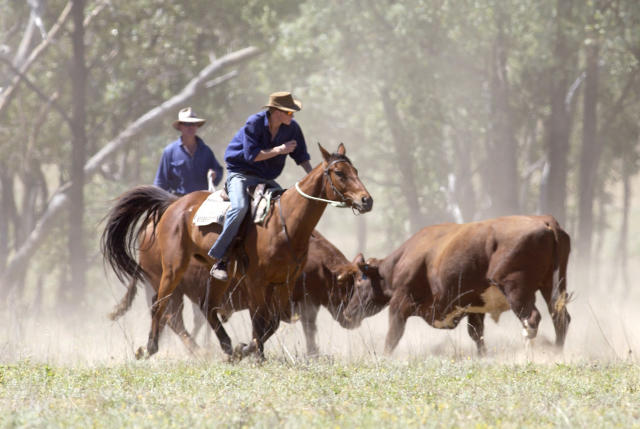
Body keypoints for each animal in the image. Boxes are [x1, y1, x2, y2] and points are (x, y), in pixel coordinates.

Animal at [102, 143, 372, 358]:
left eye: (356, 171)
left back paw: (227, 347)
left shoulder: (284, 283)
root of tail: (172, 204)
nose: (366, 200)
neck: (285, 223)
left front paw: (245, 349)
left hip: (216, 276)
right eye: (339, 173)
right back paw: (153, 349)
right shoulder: (256, 282)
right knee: (163, 308)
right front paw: (255, 354)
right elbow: (261, 320)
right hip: (170, 272)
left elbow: (275, 321)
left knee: (207, 308)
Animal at [342, 214, 572, 354]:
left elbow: (392, 336)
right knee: (560, 317)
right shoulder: (475, 305)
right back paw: (557, 352)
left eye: (360, 280)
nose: (347, 312)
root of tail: (545, 221)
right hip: (552, 286)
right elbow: (476, 334)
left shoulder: (400, 304)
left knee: (531, 319)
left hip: (517, 290)